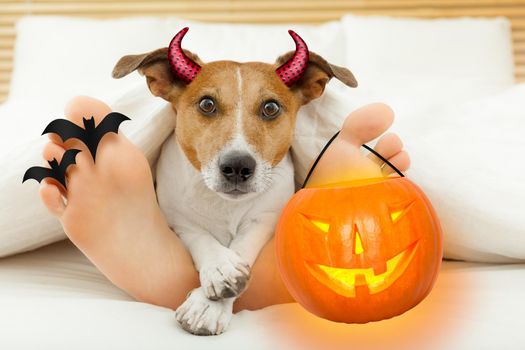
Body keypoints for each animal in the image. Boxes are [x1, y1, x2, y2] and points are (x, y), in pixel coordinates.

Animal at [110, 26, 356, 334]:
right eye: (207, 104)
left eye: (271, 108)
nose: (237, 166)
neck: (223, 203)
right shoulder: (178, 220)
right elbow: (201, 236)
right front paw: (219, 268)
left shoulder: (265, 218)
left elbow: (243, 244)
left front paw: (208, 304)